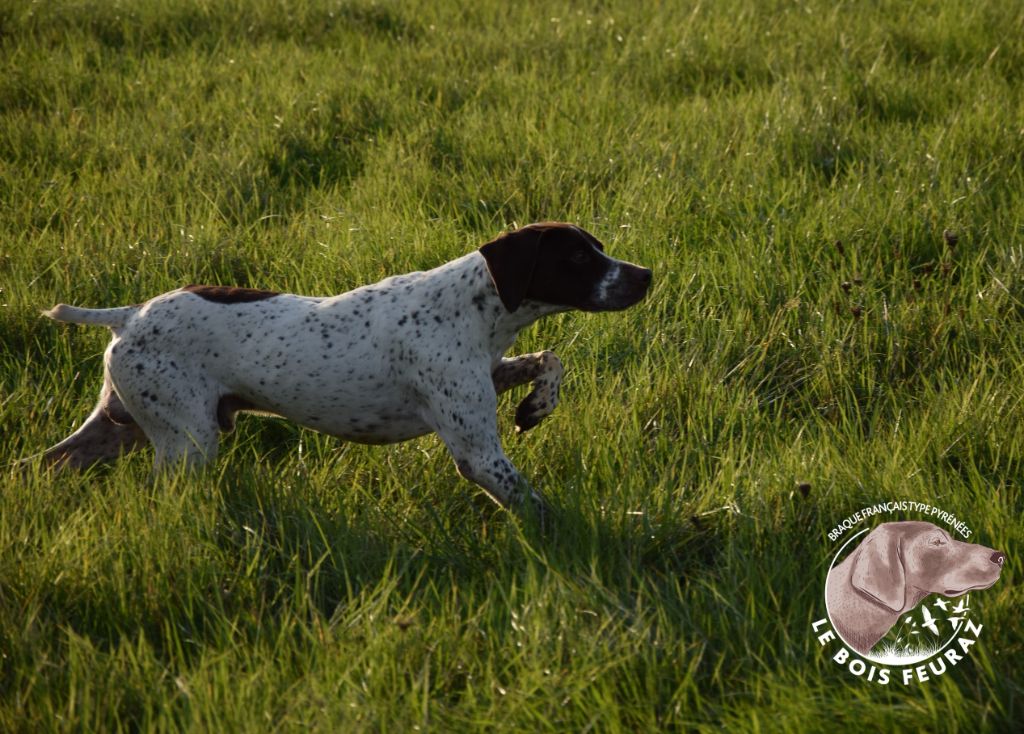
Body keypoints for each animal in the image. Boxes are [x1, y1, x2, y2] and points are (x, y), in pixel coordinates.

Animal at [39, 223, 651, 522]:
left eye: (598, 247)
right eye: (578, 258)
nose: (645, 274)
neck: (472, 309)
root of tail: (128, 315)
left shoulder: (488, 375)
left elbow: (549, 361)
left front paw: (537, 406)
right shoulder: (479, 454)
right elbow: (537, 506)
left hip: (118, 427)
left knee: (45, 463)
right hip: (184, 443)